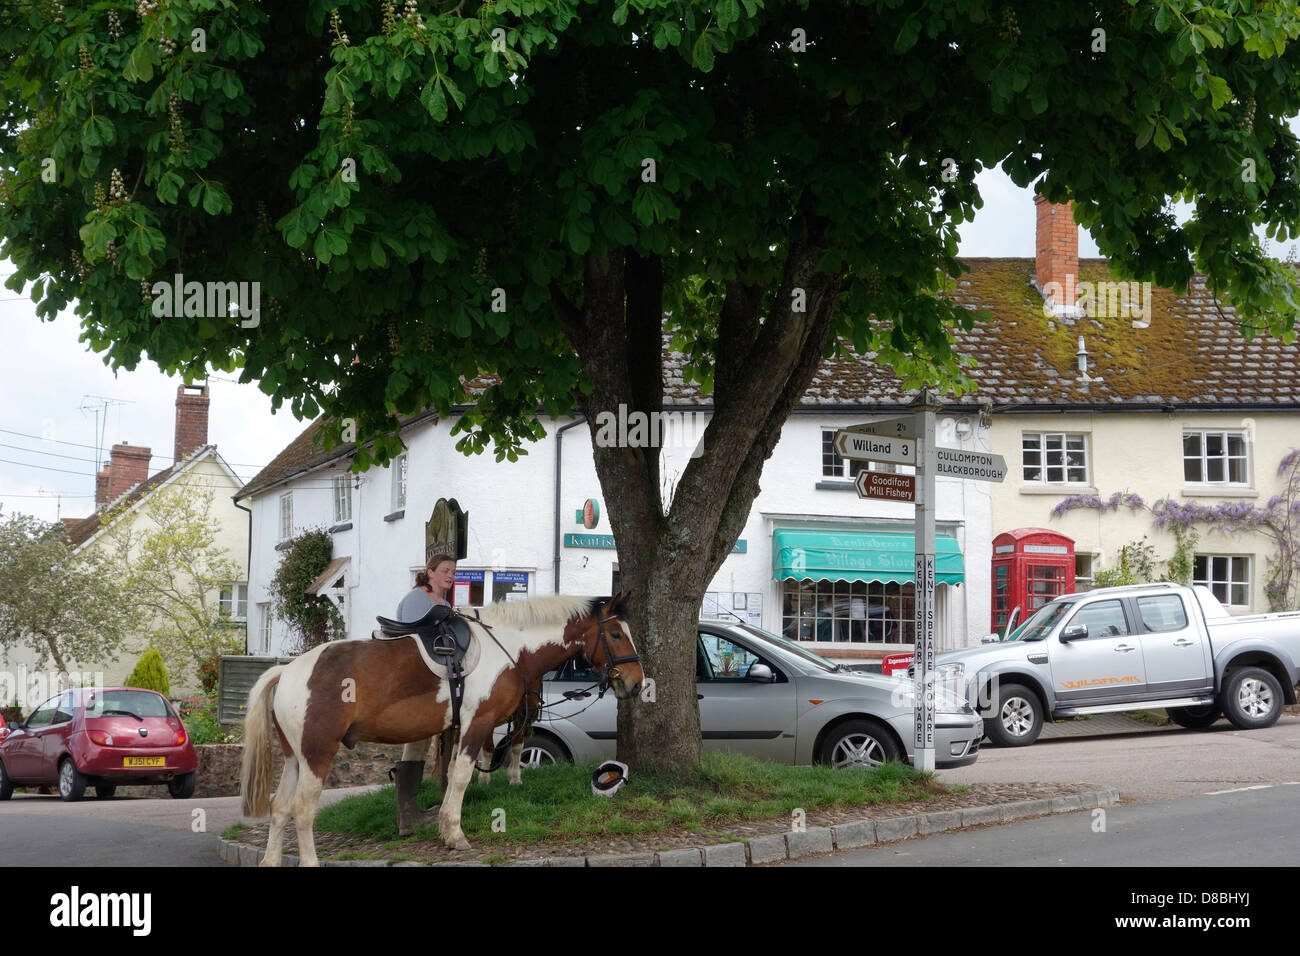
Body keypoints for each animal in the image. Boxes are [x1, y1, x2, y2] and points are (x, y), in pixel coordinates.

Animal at [240, 595, 644, 863]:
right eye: (617, 634)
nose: (637, 682)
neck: (508, 645)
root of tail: (288, 670)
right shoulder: (477, 723)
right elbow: (462, 776)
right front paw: (454, 834)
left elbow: (452, 774)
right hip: (317, 753)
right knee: (302, 808)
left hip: (294, 757)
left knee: (279, 807)